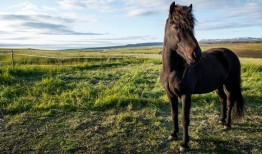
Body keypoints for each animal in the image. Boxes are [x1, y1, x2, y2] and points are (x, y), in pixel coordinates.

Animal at [159, 1, 245, 152]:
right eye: (175, 26)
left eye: (192, 27)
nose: (196, 54)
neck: (172, 70)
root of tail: (230, 53)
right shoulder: (170, 94)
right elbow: (174, 114)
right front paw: (173, 135)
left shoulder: (186, 95)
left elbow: (185, 119)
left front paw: (184, 144)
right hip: (218, 85)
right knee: (223, 99)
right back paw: (221, 120)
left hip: (230, 84)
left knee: (230, 101)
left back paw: (227, 124)